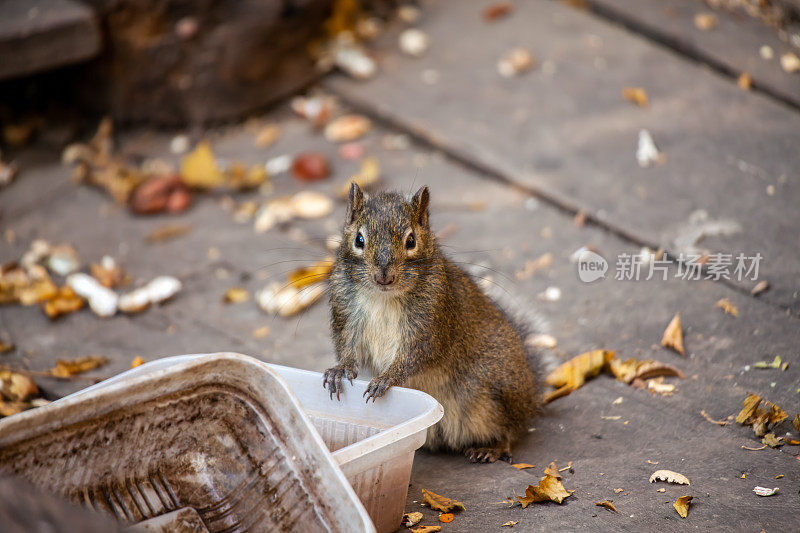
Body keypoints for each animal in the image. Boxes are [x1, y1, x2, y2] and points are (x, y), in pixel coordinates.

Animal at [322, 183, 540, 462]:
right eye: (359, 240)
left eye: (411, 241)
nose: (384, 276)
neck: (383, 297)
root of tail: (531, 395)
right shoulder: (346, 314)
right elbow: (347, 346)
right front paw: (340, 369)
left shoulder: (432, 323)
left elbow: (416, 355)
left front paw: (387, 378)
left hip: (495, 391)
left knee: (511, 431)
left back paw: (493, 447)